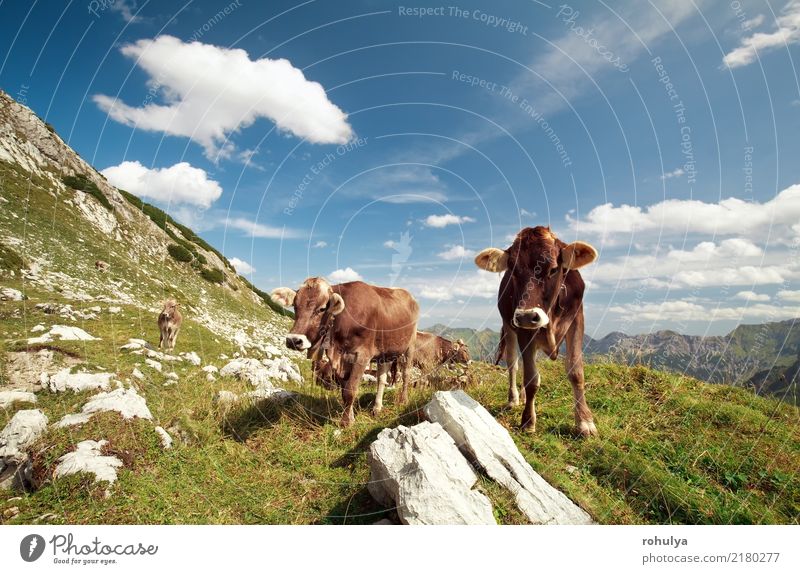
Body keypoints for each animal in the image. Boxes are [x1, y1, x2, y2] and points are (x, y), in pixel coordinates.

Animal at [272, 280, 418, 428]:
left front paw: (346, 423)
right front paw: (351, 418)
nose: (293, 340)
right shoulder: (342, 360)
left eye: (322, 309)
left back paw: (403, 400)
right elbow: (344, 391)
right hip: (384, 353)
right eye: (295, 306)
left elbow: (350, 390)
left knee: (406, 375)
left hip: (410, 346)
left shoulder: (362, 355)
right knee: (381, 379)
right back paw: (377, 408)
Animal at [472, 227, 596, 438]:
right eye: (513, 270)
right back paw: (514, 398)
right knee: (513, 364)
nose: (527, 316)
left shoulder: (577, 318)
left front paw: (585, 421)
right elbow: (531, 378)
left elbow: (576, 371)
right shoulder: (523, 329)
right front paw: (528, 421)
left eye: (553, 269)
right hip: (509, 326)